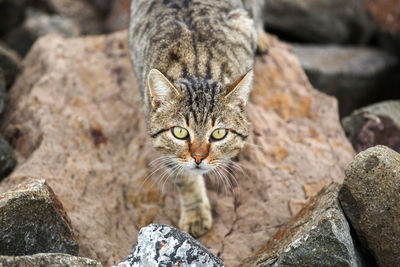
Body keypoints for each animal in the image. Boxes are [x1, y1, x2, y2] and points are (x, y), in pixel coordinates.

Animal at [130, 0, 268, 239]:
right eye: (180, 132)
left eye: (219, 133)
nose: (198, 157)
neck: (197, 68)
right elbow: (185, 179)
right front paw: (195, 214)